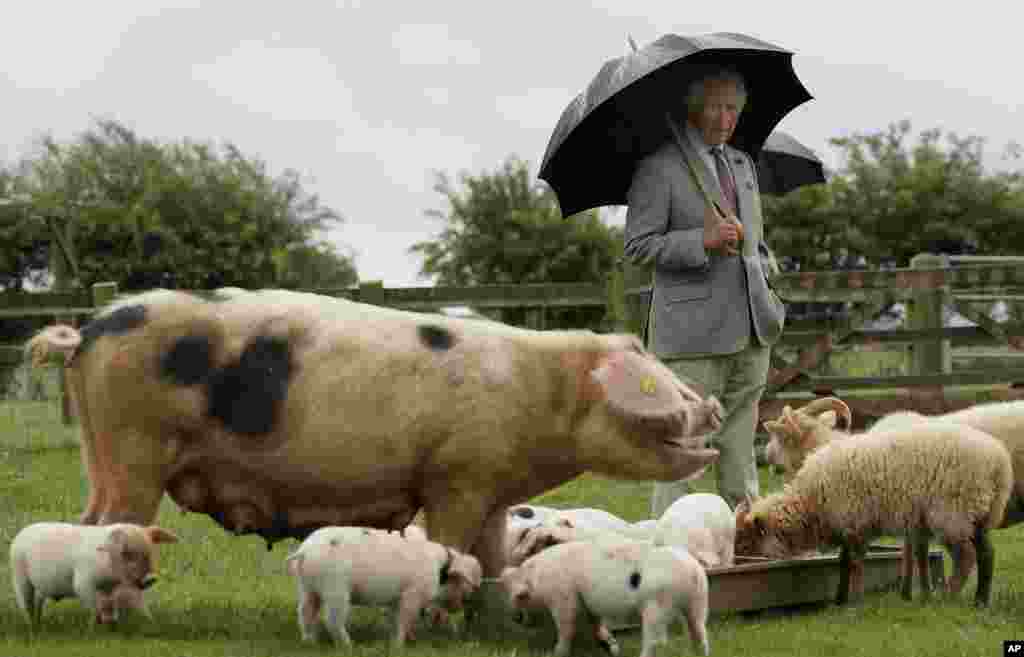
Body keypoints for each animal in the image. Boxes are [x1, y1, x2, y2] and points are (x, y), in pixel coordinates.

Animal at [28, 288, 724, 581]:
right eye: (663, 382)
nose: (713, 406)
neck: (545, 395)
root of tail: (86, 332)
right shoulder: (455, 477)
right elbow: (452, 544)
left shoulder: (493, 487)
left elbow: (493, 555)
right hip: (133, 450)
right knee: (108, 527)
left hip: (106, 455)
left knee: (86, 523)